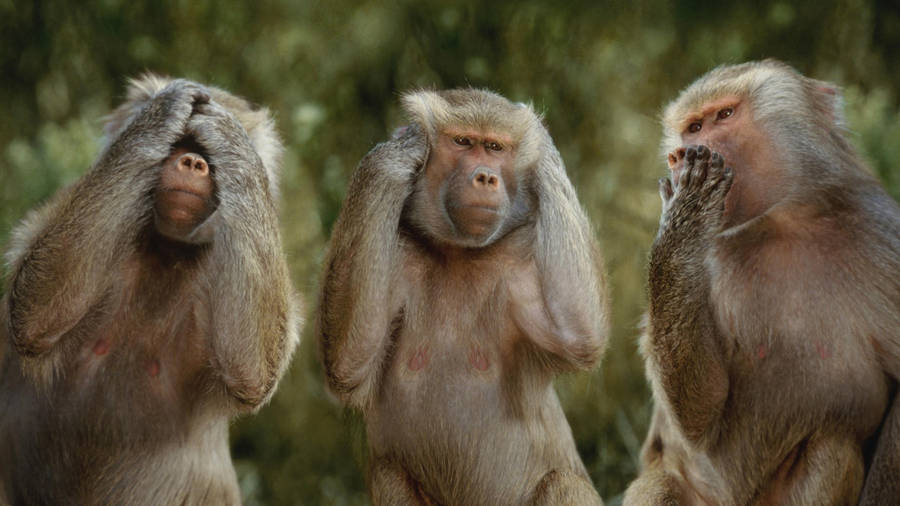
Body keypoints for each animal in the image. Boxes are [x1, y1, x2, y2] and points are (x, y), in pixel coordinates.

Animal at [0, 75, 300, 505]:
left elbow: (252, 370)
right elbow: (33, 314)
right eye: (179, 143)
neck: (166, 250)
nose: (193, 162)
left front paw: (229, 134)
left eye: (206, 153)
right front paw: (163, 111)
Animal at [317, 88, 609, 505]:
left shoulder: (519, 260)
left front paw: (544, 148)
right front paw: (397, 152)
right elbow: (348, 364)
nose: (485, 176)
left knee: (563, 483)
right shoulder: (398, 253)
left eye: (495, 147)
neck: (458, 252)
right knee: (389, 475)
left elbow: (579, 335)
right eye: (463, 142)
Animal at [623, 59, 900, 505]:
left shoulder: (880, 234)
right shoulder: (711, 257)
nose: (678, 155)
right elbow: (701, 415)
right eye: (692, 127)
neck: (782, 223)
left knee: (832, 448)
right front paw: (684, 216)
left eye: (724, 115)